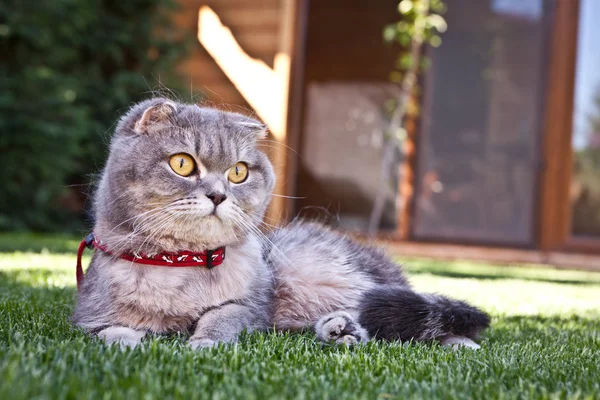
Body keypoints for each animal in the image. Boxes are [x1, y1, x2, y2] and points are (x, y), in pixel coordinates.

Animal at [72, 97, 490, 350]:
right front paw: (128, 345)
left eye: (238, 172)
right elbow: (110, 333)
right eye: (182, 164)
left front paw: (203, 343)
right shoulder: (88, 317)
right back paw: (340, 331)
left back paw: (459, 345)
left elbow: (220, 318)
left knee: (425, 321)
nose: (219, 195)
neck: (179, 265)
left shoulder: (249, 306)